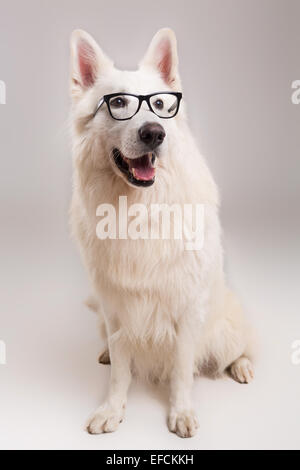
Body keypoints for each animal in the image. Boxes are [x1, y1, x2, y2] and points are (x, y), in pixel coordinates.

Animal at [68, 27, 255, 436]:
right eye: (118, 103)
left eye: (159, 104)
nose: (154, 133)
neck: (139, 209)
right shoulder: (117, 307)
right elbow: (121, 370)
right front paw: (112, 408)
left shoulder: (186, 311)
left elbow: (182, 369)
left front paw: (181, 411)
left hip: (224, 329)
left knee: (241, 346)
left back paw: (243, 365)